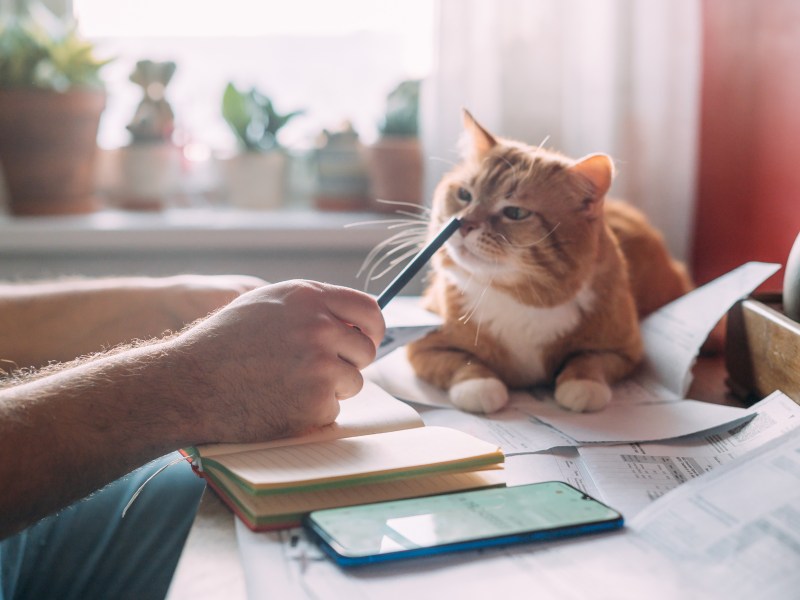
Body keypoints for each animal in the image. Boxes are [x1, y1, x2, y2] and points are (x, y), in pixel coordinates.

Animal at [410, 111, 692, 412]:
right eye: (464, 195)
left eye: (515, 213)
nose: (463, 224)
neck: (520, 298)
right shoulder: (422, 345)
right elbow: (462, 360)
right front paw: (479, 385)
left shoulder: (626, 350)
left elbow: (589, 359)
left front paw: (583, 385)